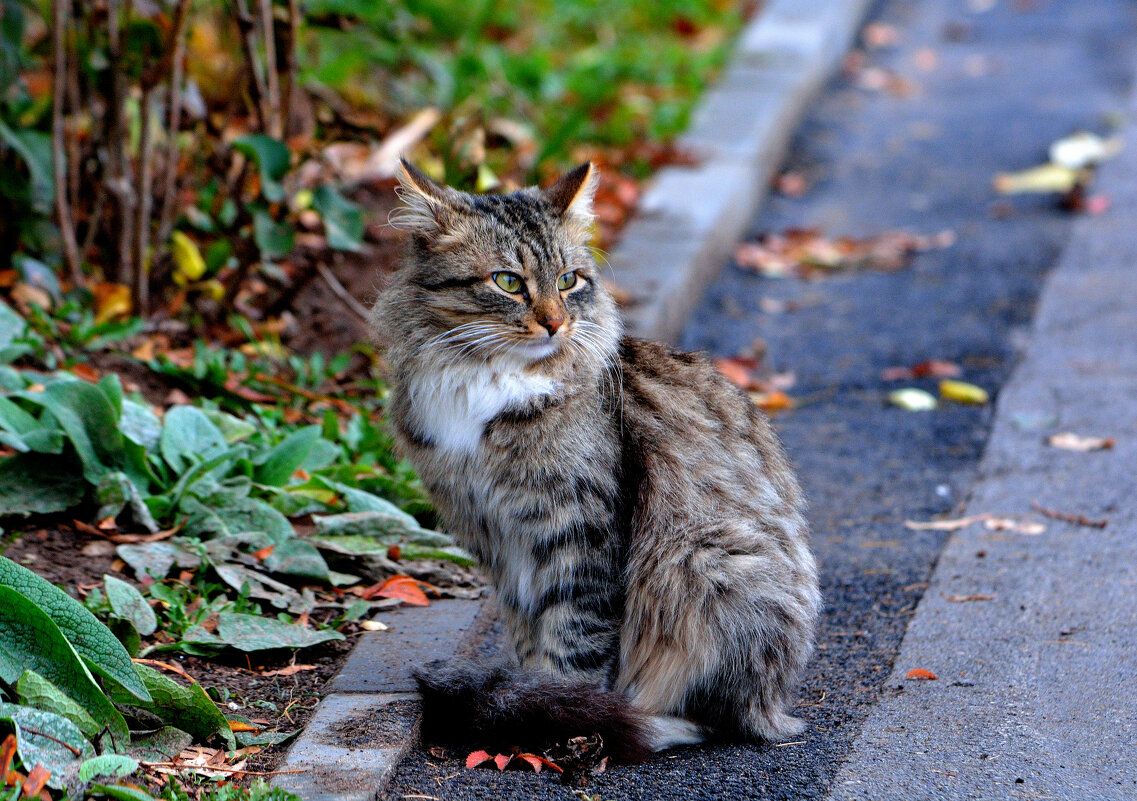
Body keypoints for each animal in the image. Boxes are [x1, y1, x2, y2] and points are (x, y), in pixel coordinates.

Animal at [377, 158, 823, 755]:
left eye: (569, 281)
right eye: (508, 282)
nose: (554, 322)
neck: (482, 383)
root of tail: (775, 704)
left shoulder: (580, 529)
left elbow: (576, 638)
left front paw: (560, 715)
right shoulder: (493, 537)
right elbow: (530, 633)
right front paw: (537, 703)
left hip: (703, 559)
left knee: (715, 713)